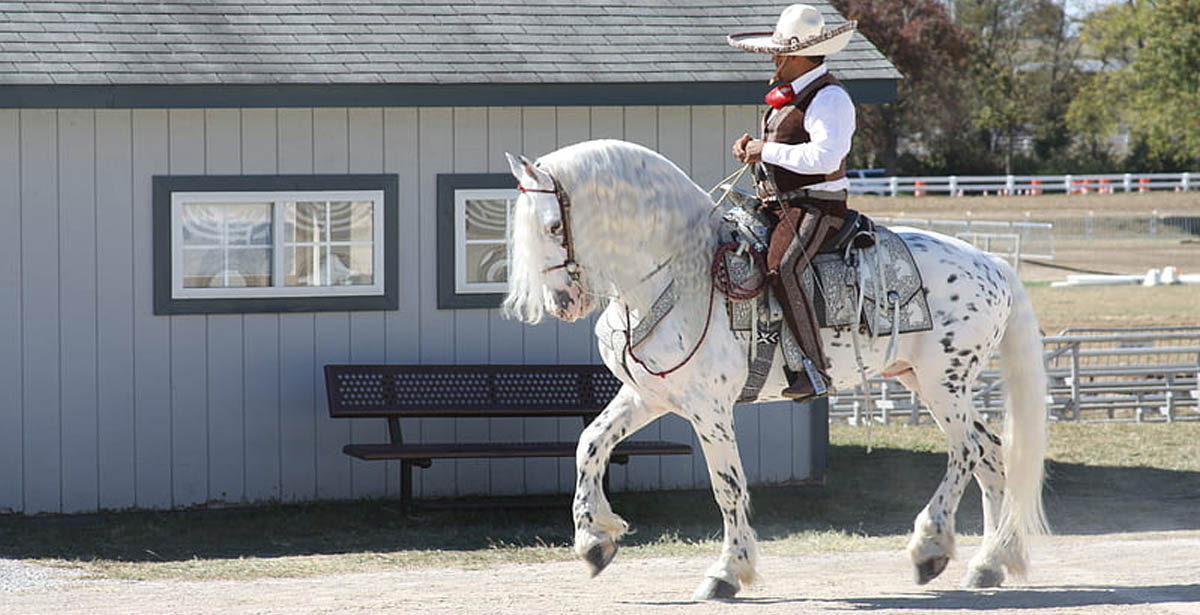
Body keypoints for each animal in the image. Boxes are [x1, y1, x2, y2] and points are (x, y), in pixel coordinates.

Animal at [501, 139, 1046, 600]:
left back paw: (931, 546)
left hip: (942, 384)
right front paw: (594, 539)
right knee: (992, 454)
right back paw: (990, 562)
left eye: (553, 227)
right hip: (927, 381)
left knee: (968, 450)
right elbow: (589, 443)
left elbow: (727, 486)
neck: (676, 274)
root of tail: (994, 263)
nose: (562, 303)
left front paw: (727, 572)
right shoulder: (648, 397)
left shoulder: (709, 410)